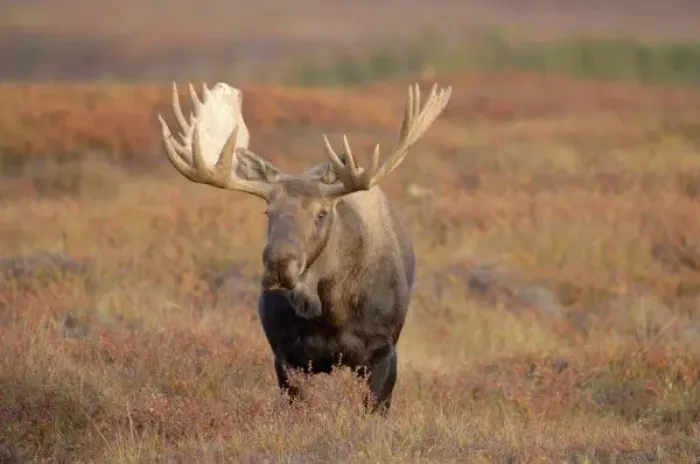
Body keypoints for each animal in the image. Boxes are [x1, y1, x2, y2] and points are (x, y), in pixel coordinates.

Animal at [157, 80, 451, 414]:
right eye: (267, 211)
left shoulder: (382, 353)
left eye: (321, 213)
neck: (331, 316)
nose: (278, 266)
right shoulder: (286, 357)